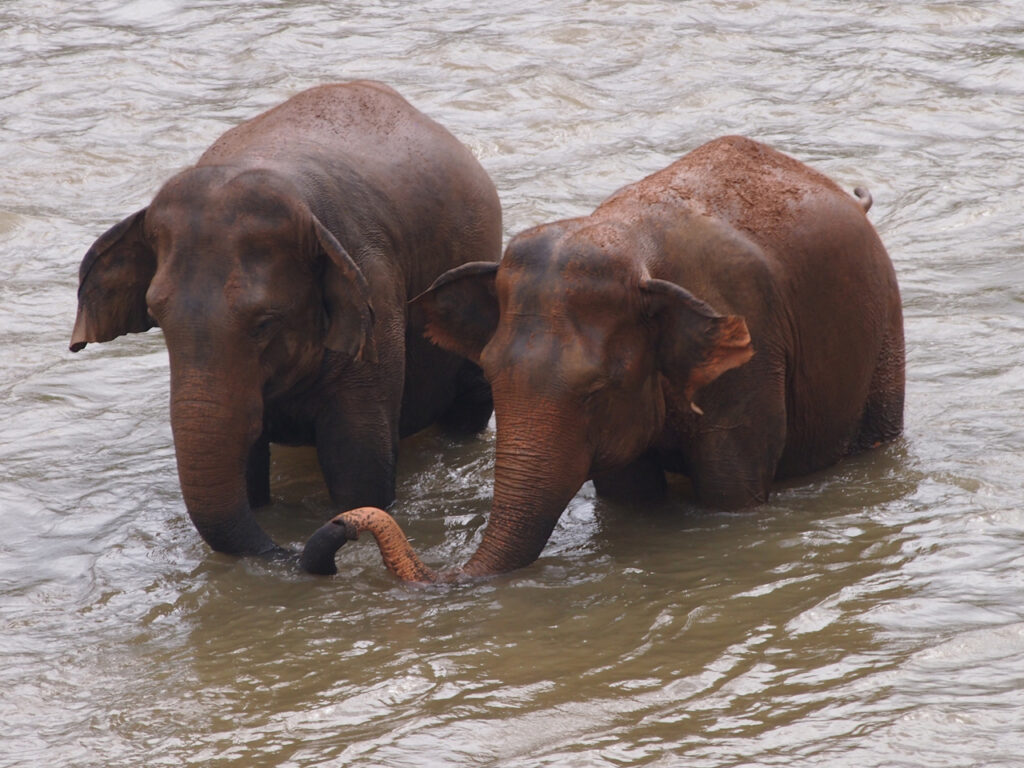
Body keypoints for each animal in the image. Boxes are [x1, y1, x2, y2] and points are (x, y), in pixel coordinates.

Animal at [300, 135, 905, 583]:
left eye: (595, 391)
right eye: (490, 375)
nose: (339, 528)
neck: (633, 246)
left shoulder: (749, 361)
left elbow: (731, 494)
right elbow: (628, 493)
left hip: (885, 328)